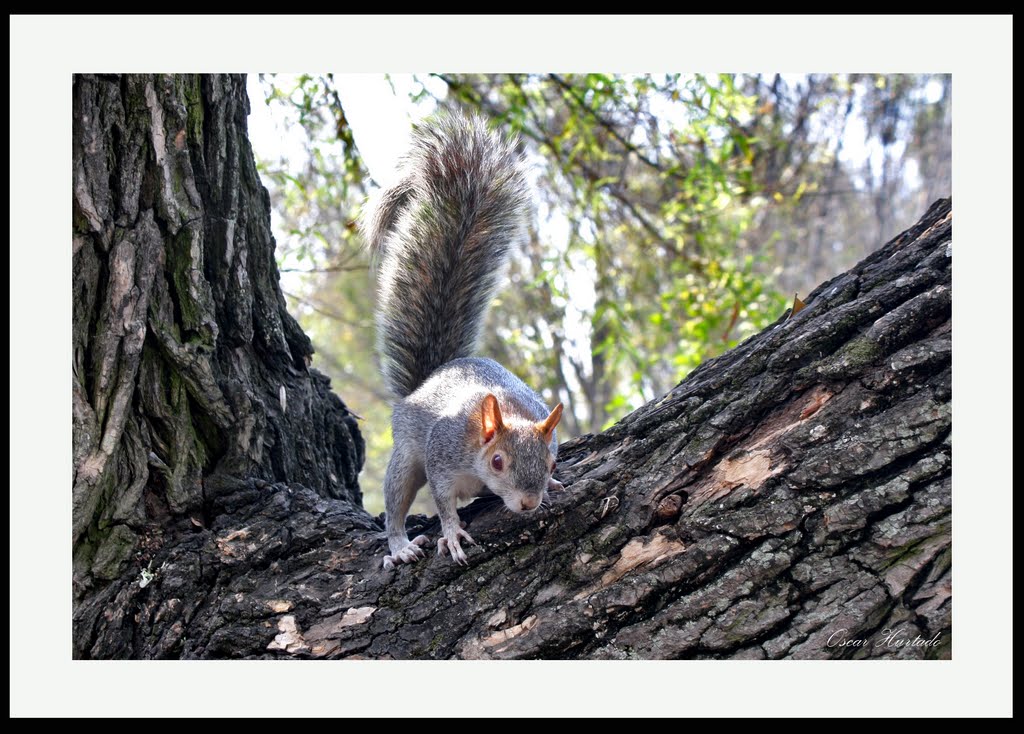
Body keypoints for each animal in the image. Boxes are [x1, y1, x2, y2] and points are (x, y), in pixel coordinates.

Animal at [360, 113, 565, 565]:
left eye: (550, 462)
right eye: (498, 461)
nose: (529, 503)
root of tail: (428, 379)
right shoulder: (443, 456)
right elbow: (441, 501)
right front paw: (451, 533)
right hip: (406, 456)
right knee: (395, 501)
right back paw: (399, 545)